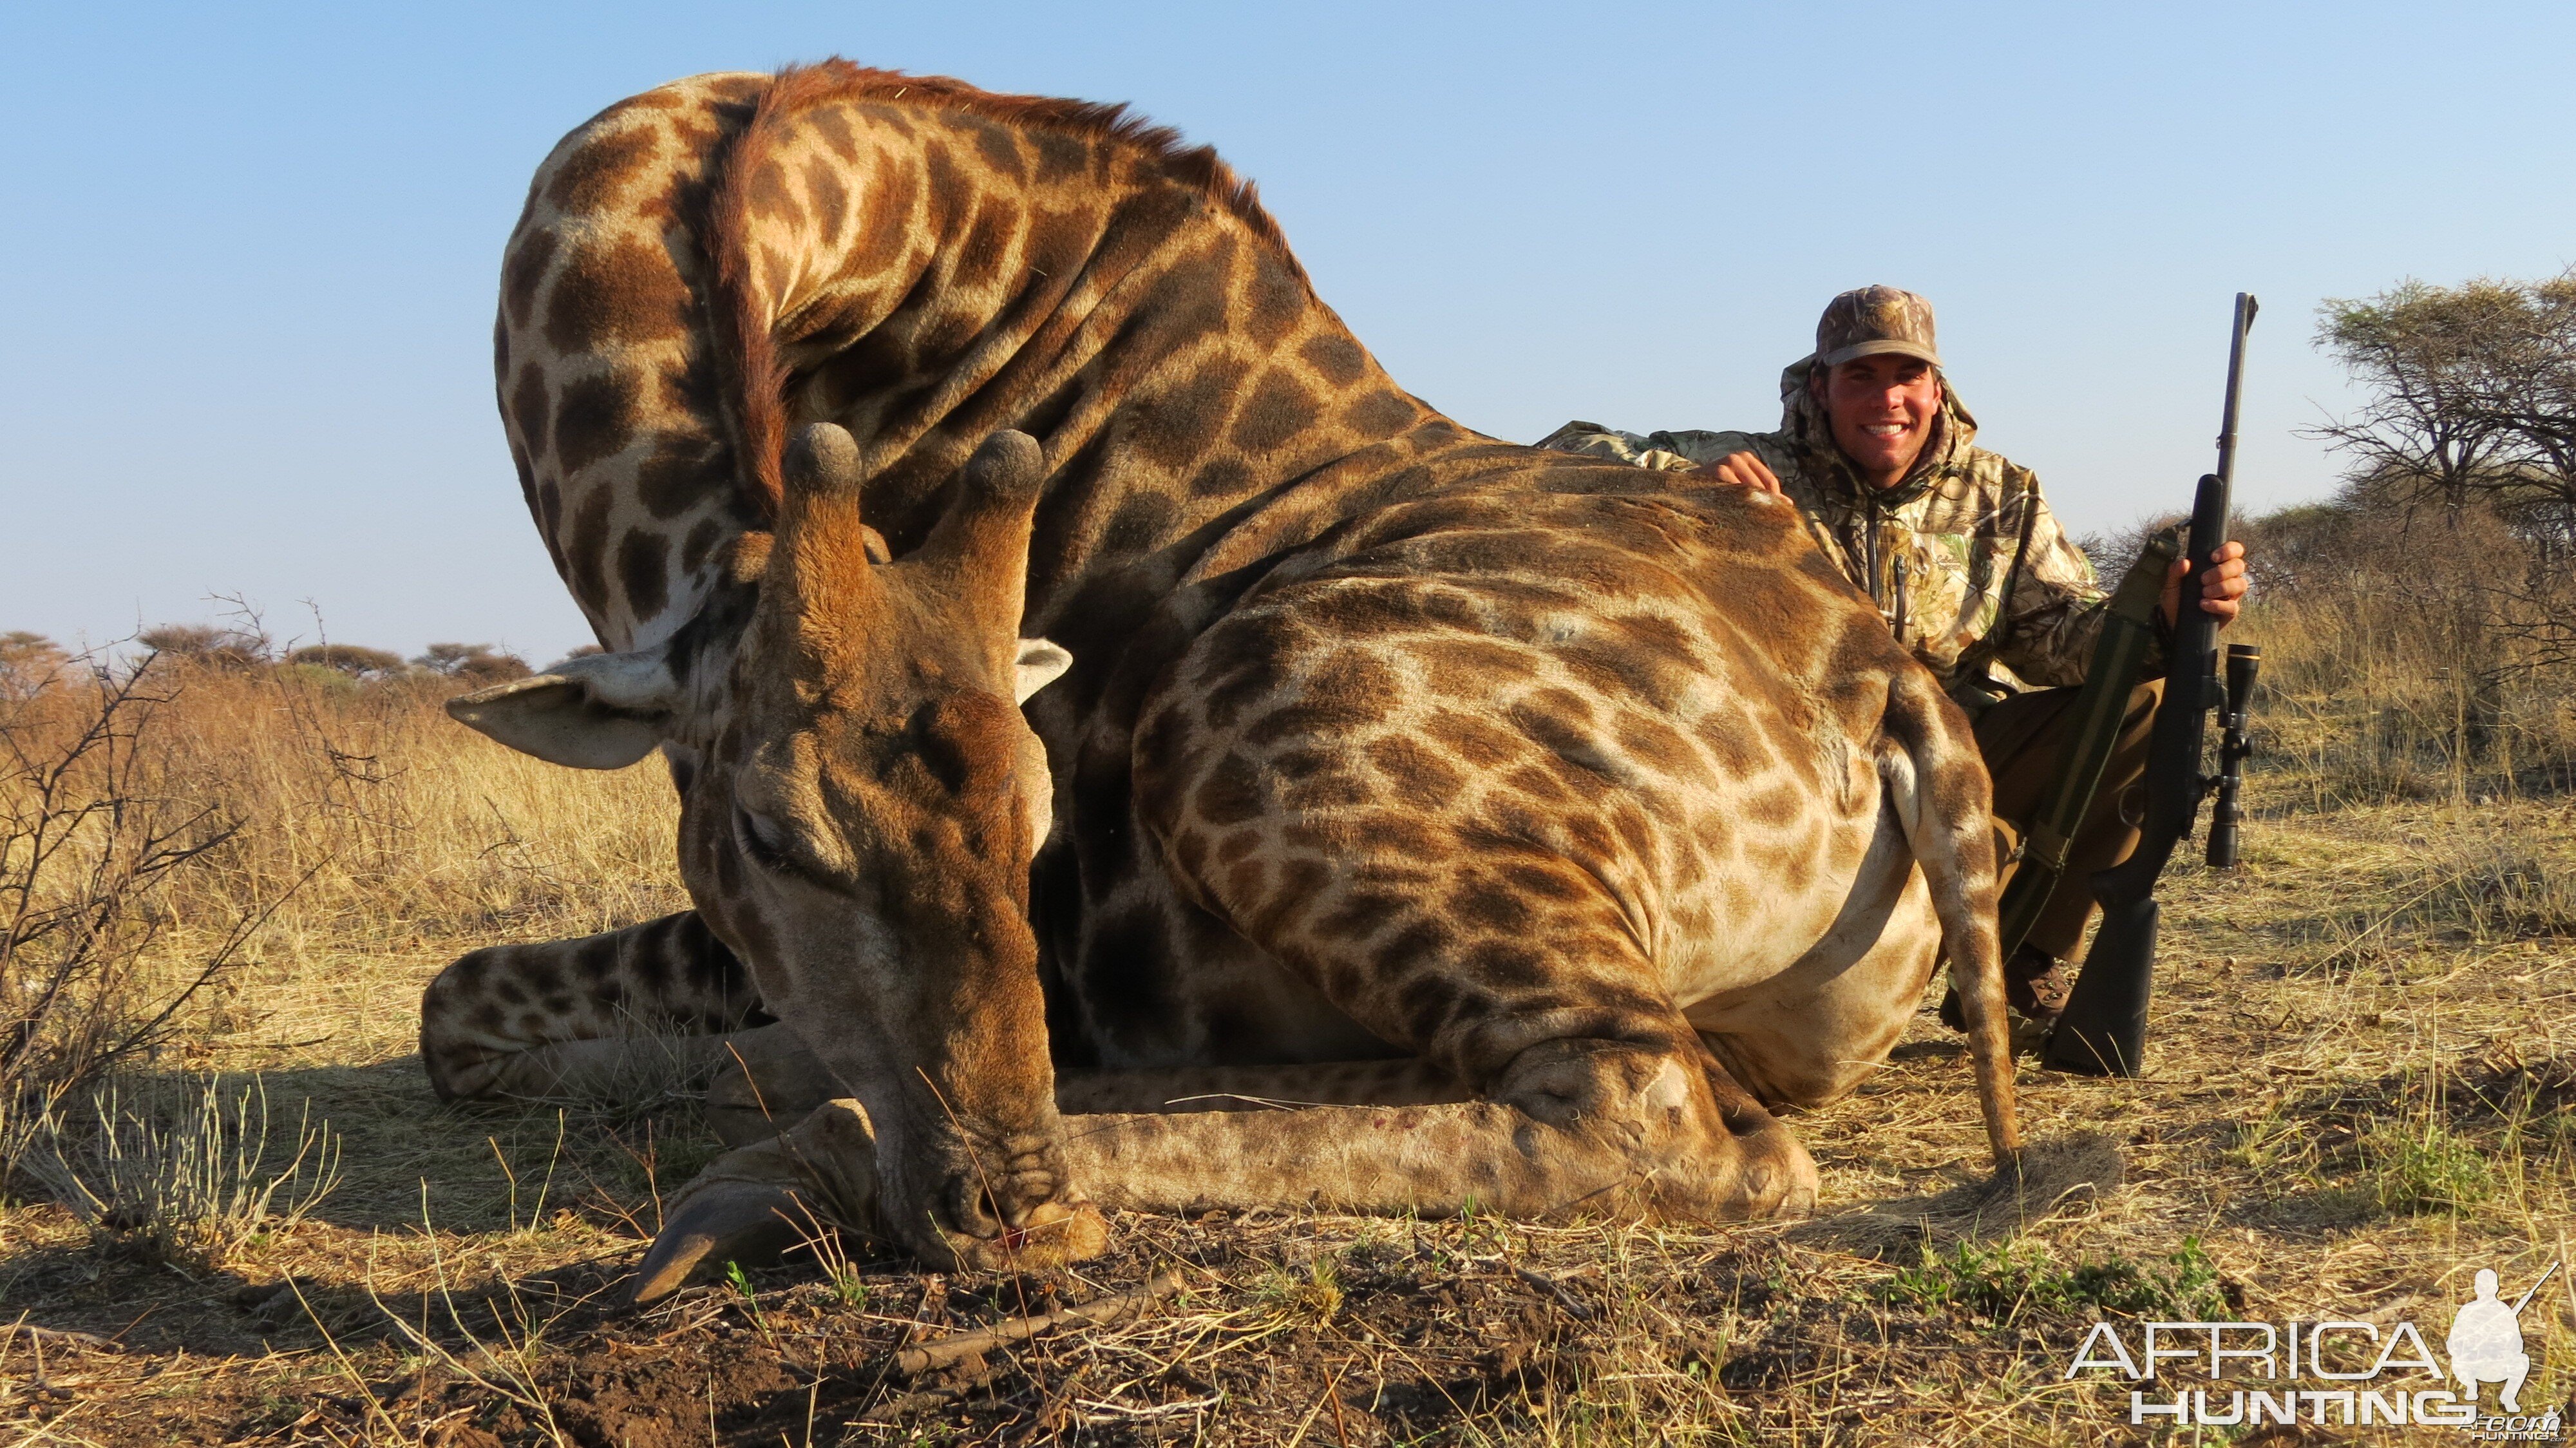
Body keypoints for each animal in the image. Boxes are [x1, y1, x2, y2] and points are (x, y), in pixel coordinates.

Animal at [428, 59, 2030, 1299]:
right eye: (771, 831)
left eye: (1036, 807)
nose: (1001, 1202)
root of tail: (1886, 689)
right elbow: (461, 1006)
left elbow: (462, 1015)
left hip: (1236, 729)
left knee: (1657, 1118)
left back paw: (806, 1160)